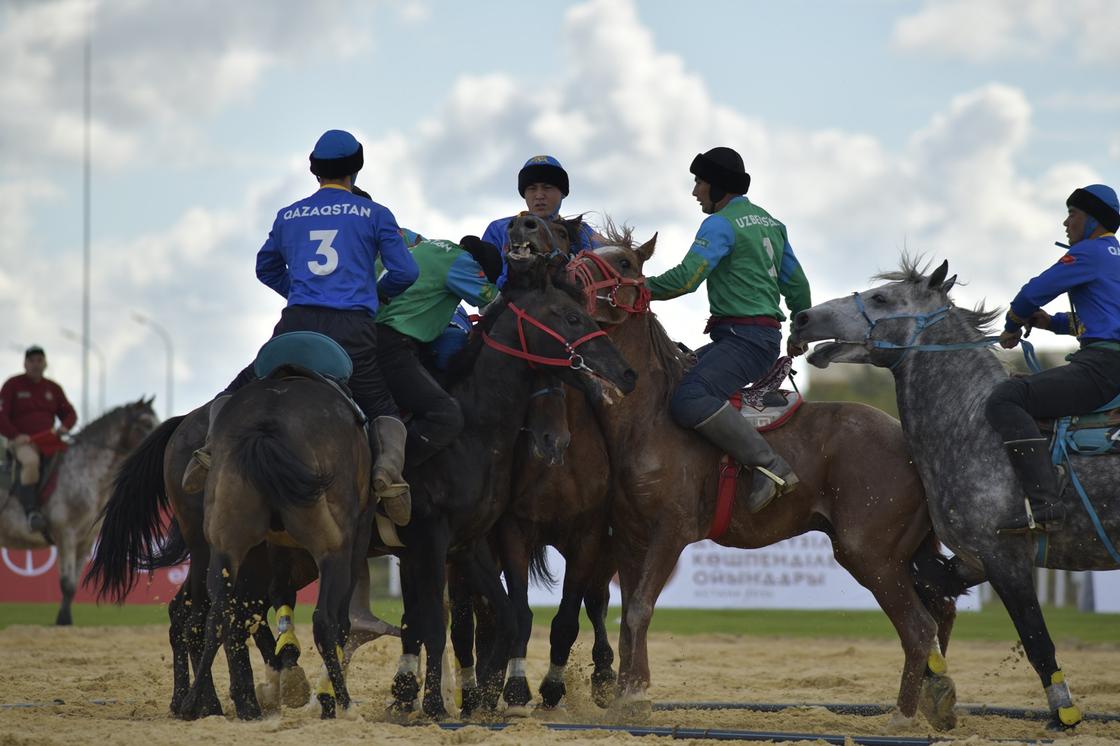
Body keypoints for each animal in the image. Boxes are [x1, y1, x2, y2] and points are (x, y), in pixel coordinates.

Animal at [0, 398, 159, 622]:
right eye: (146, 423)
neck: (84, 475)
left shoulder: (85, 541)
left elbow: (73, 585)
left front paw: (64, 619)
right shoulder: (66, 535)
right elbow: (66, 583)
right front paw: (63, 621)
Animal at [548, 235, 963, 730]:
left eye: (625, 262)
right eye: (583, 255)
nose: (568, 278)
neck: (649, 417)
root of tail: (908, 443)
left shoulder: (670, 534)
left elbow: (640, 610)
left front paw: (633, 696)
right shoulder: (631, 540)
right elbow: (630, 615)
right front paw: (630, 696)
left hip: (871, 556)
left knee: (918, 627)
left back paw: (901, 717)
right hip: (902, 557)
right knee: (941, 611)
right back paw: (938, 698)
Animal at [792, 257, 1120, 725]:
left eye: (881, 298)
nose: (802, 319)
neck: (971, 425)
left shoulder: (1005, 560)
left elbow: (1036, 639)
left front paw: (1065, 714)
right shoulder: (971, 559)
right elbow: (928, 595)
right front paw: (934, 689)